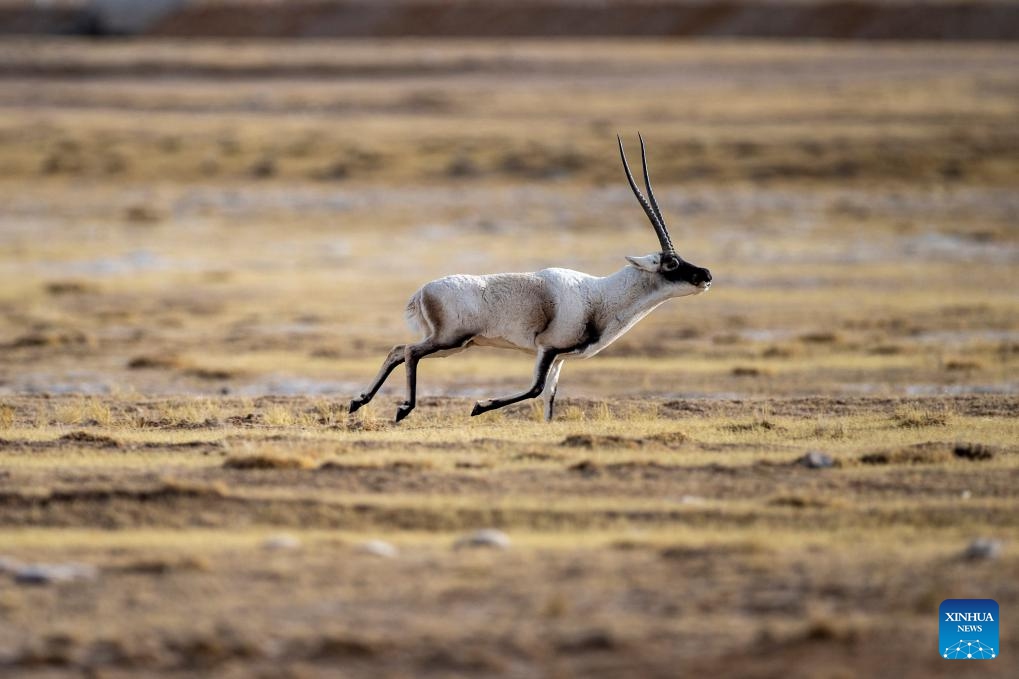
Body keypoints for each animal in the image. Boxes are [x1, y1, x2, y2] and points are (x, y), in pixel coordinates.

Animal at [349, 134, 712, 423]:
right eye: (671, 263)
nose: (706, 275)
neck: (600, 294)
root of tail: (422, 291)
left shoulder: (560, 358)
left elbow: (550, 396)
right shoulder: (548, 348)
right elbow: (536, 389)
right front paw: (479, 406)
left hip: (450, 345)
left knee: (398, 350)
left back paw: (358, 402)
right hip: (450, 340)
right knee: (410, 352)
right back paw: (402, 409)